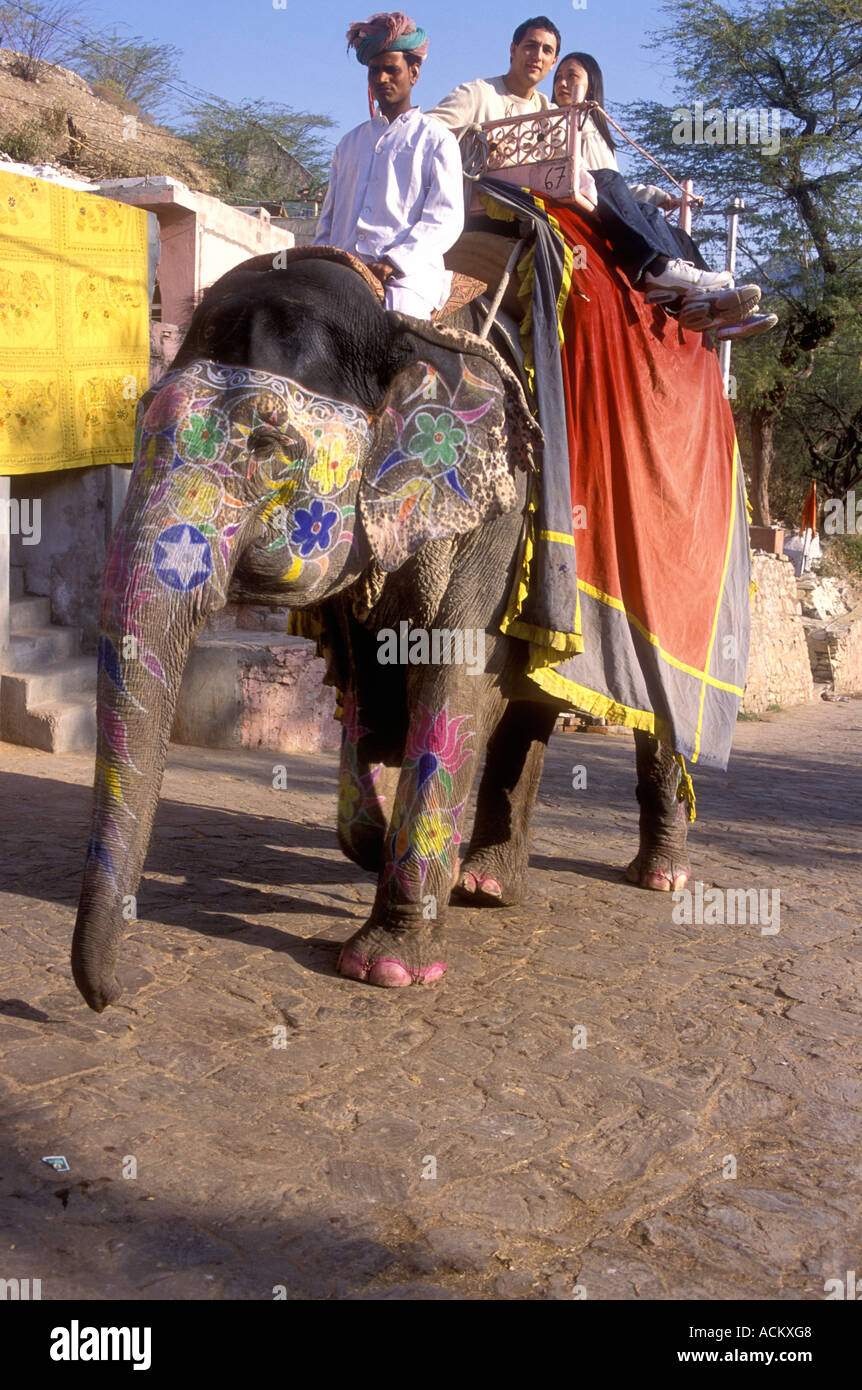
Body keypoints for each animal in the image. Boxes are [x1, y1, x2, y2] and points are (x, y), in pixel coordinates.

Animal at [70, 250, 689, 1011]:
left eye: (272, 445)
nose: (114, 995)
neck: (403, 326)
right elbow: (370, 681)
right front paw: (378, 843)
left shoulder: (503, 503)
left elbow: (459, 681)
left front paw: (387, 968)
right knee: (533, 702)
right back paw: (486, 885)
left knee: (658, 718)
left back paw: (659, 876)